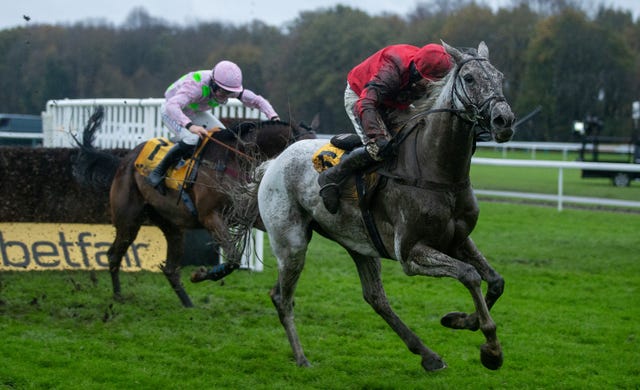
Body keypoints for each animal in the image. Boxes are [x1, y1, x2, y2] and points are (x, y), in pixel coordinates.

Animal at [72, 107, 318, 308]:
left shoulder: (250, 215)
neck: (234, 161)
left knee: (170, 268)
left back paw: (188, 304)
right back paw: (118, 296)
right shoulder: (211, 217)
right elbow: (233, 258)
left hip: (172, 226)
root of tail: (124, 160)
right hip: (128, 220)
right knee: (114, 255)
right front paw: (200, 275)